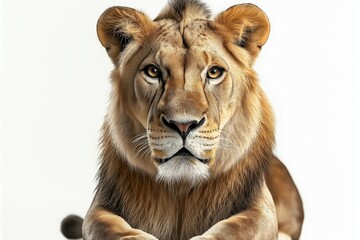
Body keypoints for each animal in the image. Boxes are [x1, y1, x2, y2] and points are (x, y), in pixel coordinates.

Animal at [61, 0, 304, 240]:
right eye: (153, 71)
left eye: (214, 72)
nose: (183, 125)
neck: (181, 187)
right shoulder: (99, 208)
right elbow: (110, 229)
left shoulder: (261, 209)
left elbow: (233, 230)